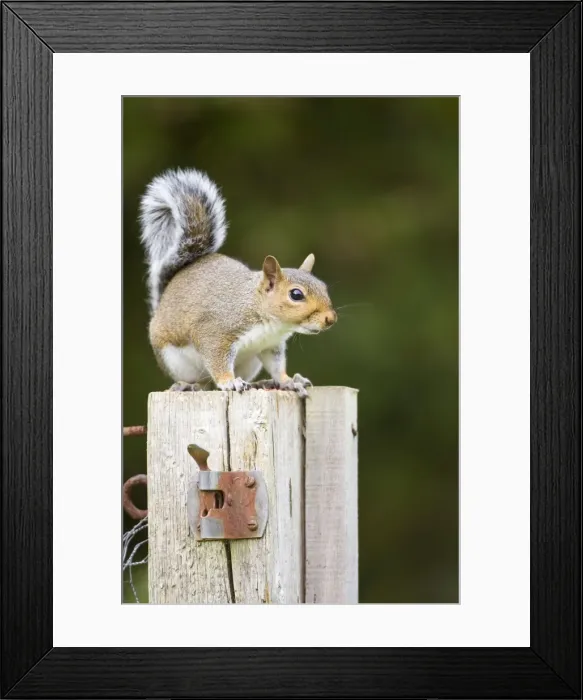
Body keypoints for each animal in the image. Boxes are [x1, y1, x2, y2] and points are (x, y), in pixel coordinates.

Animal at [139, 167, 337, 396]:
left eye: (323, 286)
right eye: (296, 294)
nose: (331, 318)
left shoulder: (270, 346)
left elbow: (277, 367)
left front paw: (288, 381)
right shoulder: (215, 332)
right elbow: (217, 360)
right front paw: (229, 382)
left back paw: (263, 383)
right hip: (176, 360)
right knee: (204, 383)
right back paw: (189, 385)